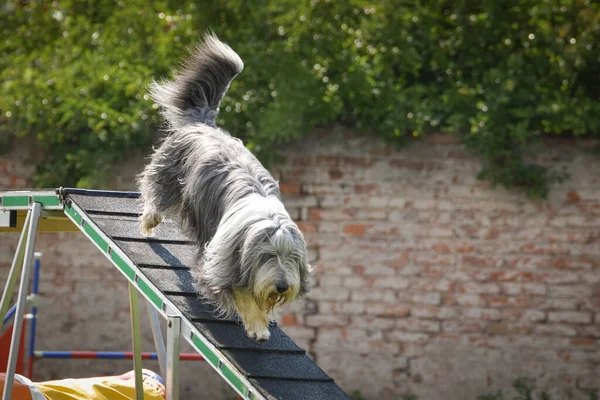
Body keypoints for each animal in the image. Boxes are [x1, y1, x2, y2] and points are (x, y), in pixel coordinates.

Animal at [138, 33, 312, 340]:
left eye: (292, 257)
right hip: (167, 173)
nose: (281, 286)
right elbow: (240, 295)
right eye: (268, 256)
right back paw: (148, 222)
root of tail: (204, 124)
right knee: (154, 196)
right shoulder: (221, 263)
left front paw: (263, 320)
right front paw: (257, 325)